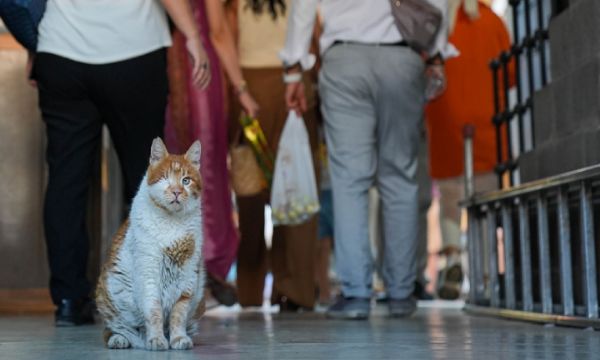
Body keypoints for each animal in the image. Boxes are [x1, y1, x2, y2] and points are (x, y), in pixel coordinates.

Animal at [95, 137, 204, 348]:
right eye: (165, 178)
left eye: (186, 180)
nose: (177, 191)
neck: (172, 223)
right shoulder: (148, 274)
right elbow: (154, 312)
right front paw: (156, 339)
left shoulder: (188, 278)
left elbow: (178, 315)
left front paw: (178, 338)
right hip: (108, 295)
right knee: (113, 328)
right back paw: (121, 339)